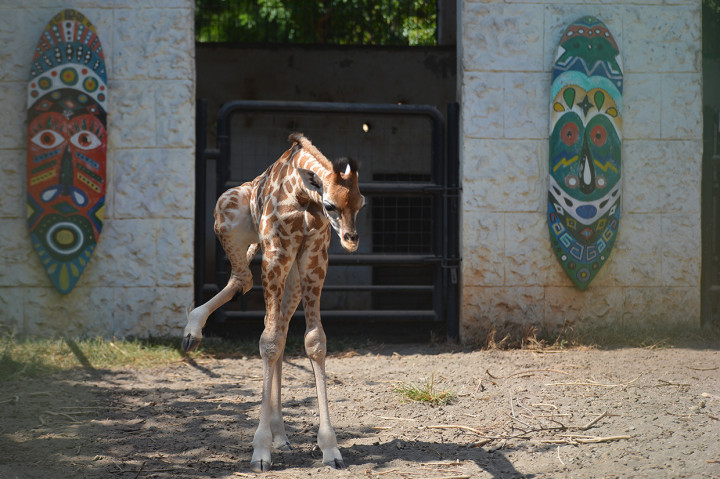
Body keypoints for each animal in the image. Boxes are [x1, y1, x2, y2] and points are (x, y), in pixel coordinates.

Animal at [182, 133, 365, 472]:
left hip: (292, 275)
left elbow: (313, 341)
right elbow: (267, 342)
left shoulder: (314, 259)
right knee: (244, 281)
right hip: (229, 219)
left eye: (361, 203)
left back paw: (282, 435)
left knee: (278, 325)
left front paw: (330, 448)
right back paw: (192, 331)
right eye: (330, 204)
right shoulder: (275, 254)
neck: (303, 195)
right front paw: (260, 451)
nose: (351, 239)